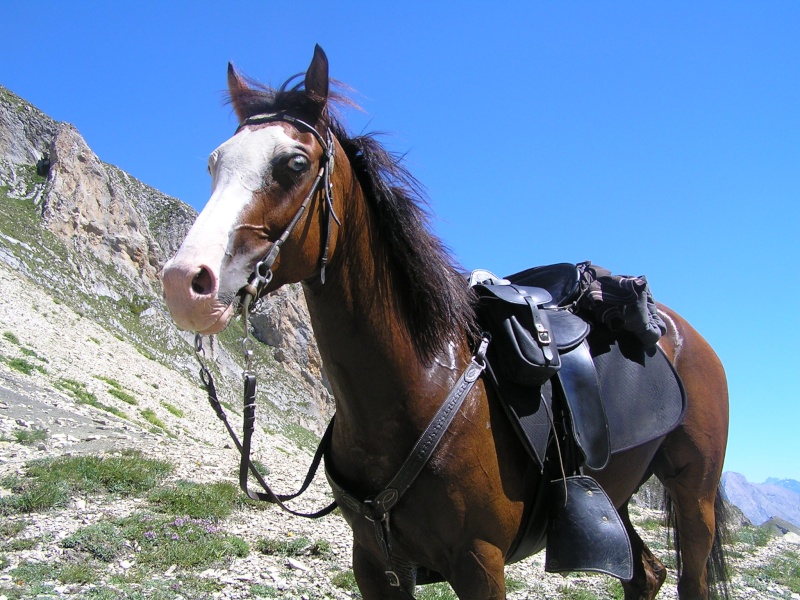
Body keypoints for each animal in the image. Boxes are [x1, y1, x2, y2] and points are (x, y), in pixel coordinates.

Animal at [161, 44, 732, 596]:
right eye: (213, 164)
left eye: (295, 163)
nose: (186, 283)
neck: (420, 383)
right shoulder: (375, 564)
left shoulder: (479, 562)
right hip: (620, 491)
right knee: (646, 574)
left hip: (693, 494)